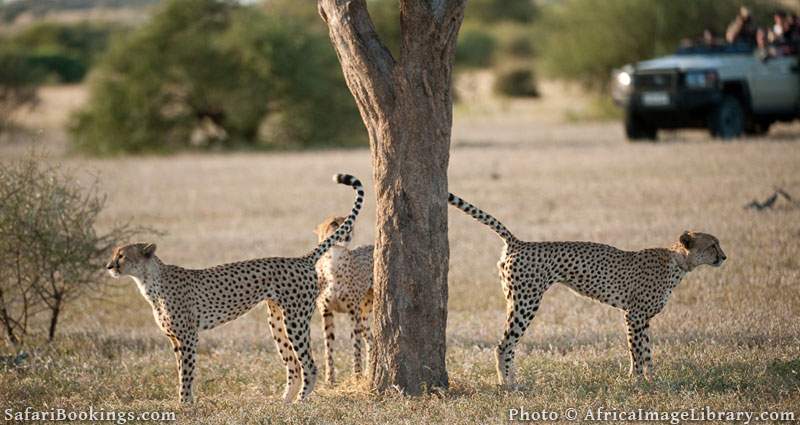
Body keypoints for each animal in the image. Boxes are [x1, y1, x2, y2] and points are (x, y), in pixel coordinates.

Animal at [105, 174, 366, 402]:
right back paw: (284, 403)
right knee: (293, 365)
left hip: (296, 319)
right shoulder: (175, 339)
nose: (108, 266)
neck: (149, 281)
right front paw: (184, 402)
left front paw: (185, 404)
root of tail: (300, 259)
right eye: (114, 253)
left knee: (309, 365)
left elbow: (187, 374)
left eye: (122, 255)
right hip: (276, 321)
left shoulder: (188, 337)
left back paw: (300, 402)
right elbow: (181, 372)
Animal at [314, 217, 374, 382]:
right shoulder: (326, 312)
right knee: (371, 340)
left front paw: (357, 376)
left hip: (363, 312)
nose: (348, 232)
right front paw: (330, 380)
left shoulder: (353, 313)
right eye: (333, 223)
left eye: (349, 223)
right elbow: (328, 347)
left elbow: (356, 345)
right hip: (364, 314)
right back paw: (369, 373)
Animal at [446, 194, 728, 386]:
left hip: (514, 299)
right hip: (526, 303)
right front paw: (636, 381)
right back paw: (508, 384)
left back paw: (512, 380)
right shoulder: (633, 315)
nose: (724, 257)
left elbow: (647, 351)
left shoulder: (643, 319)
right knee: (503, 344)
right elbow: (636, 350)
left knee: (509, 345)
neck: (678, 262)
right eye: (712, 245)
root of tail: (520, 243)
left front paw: (652, 379)